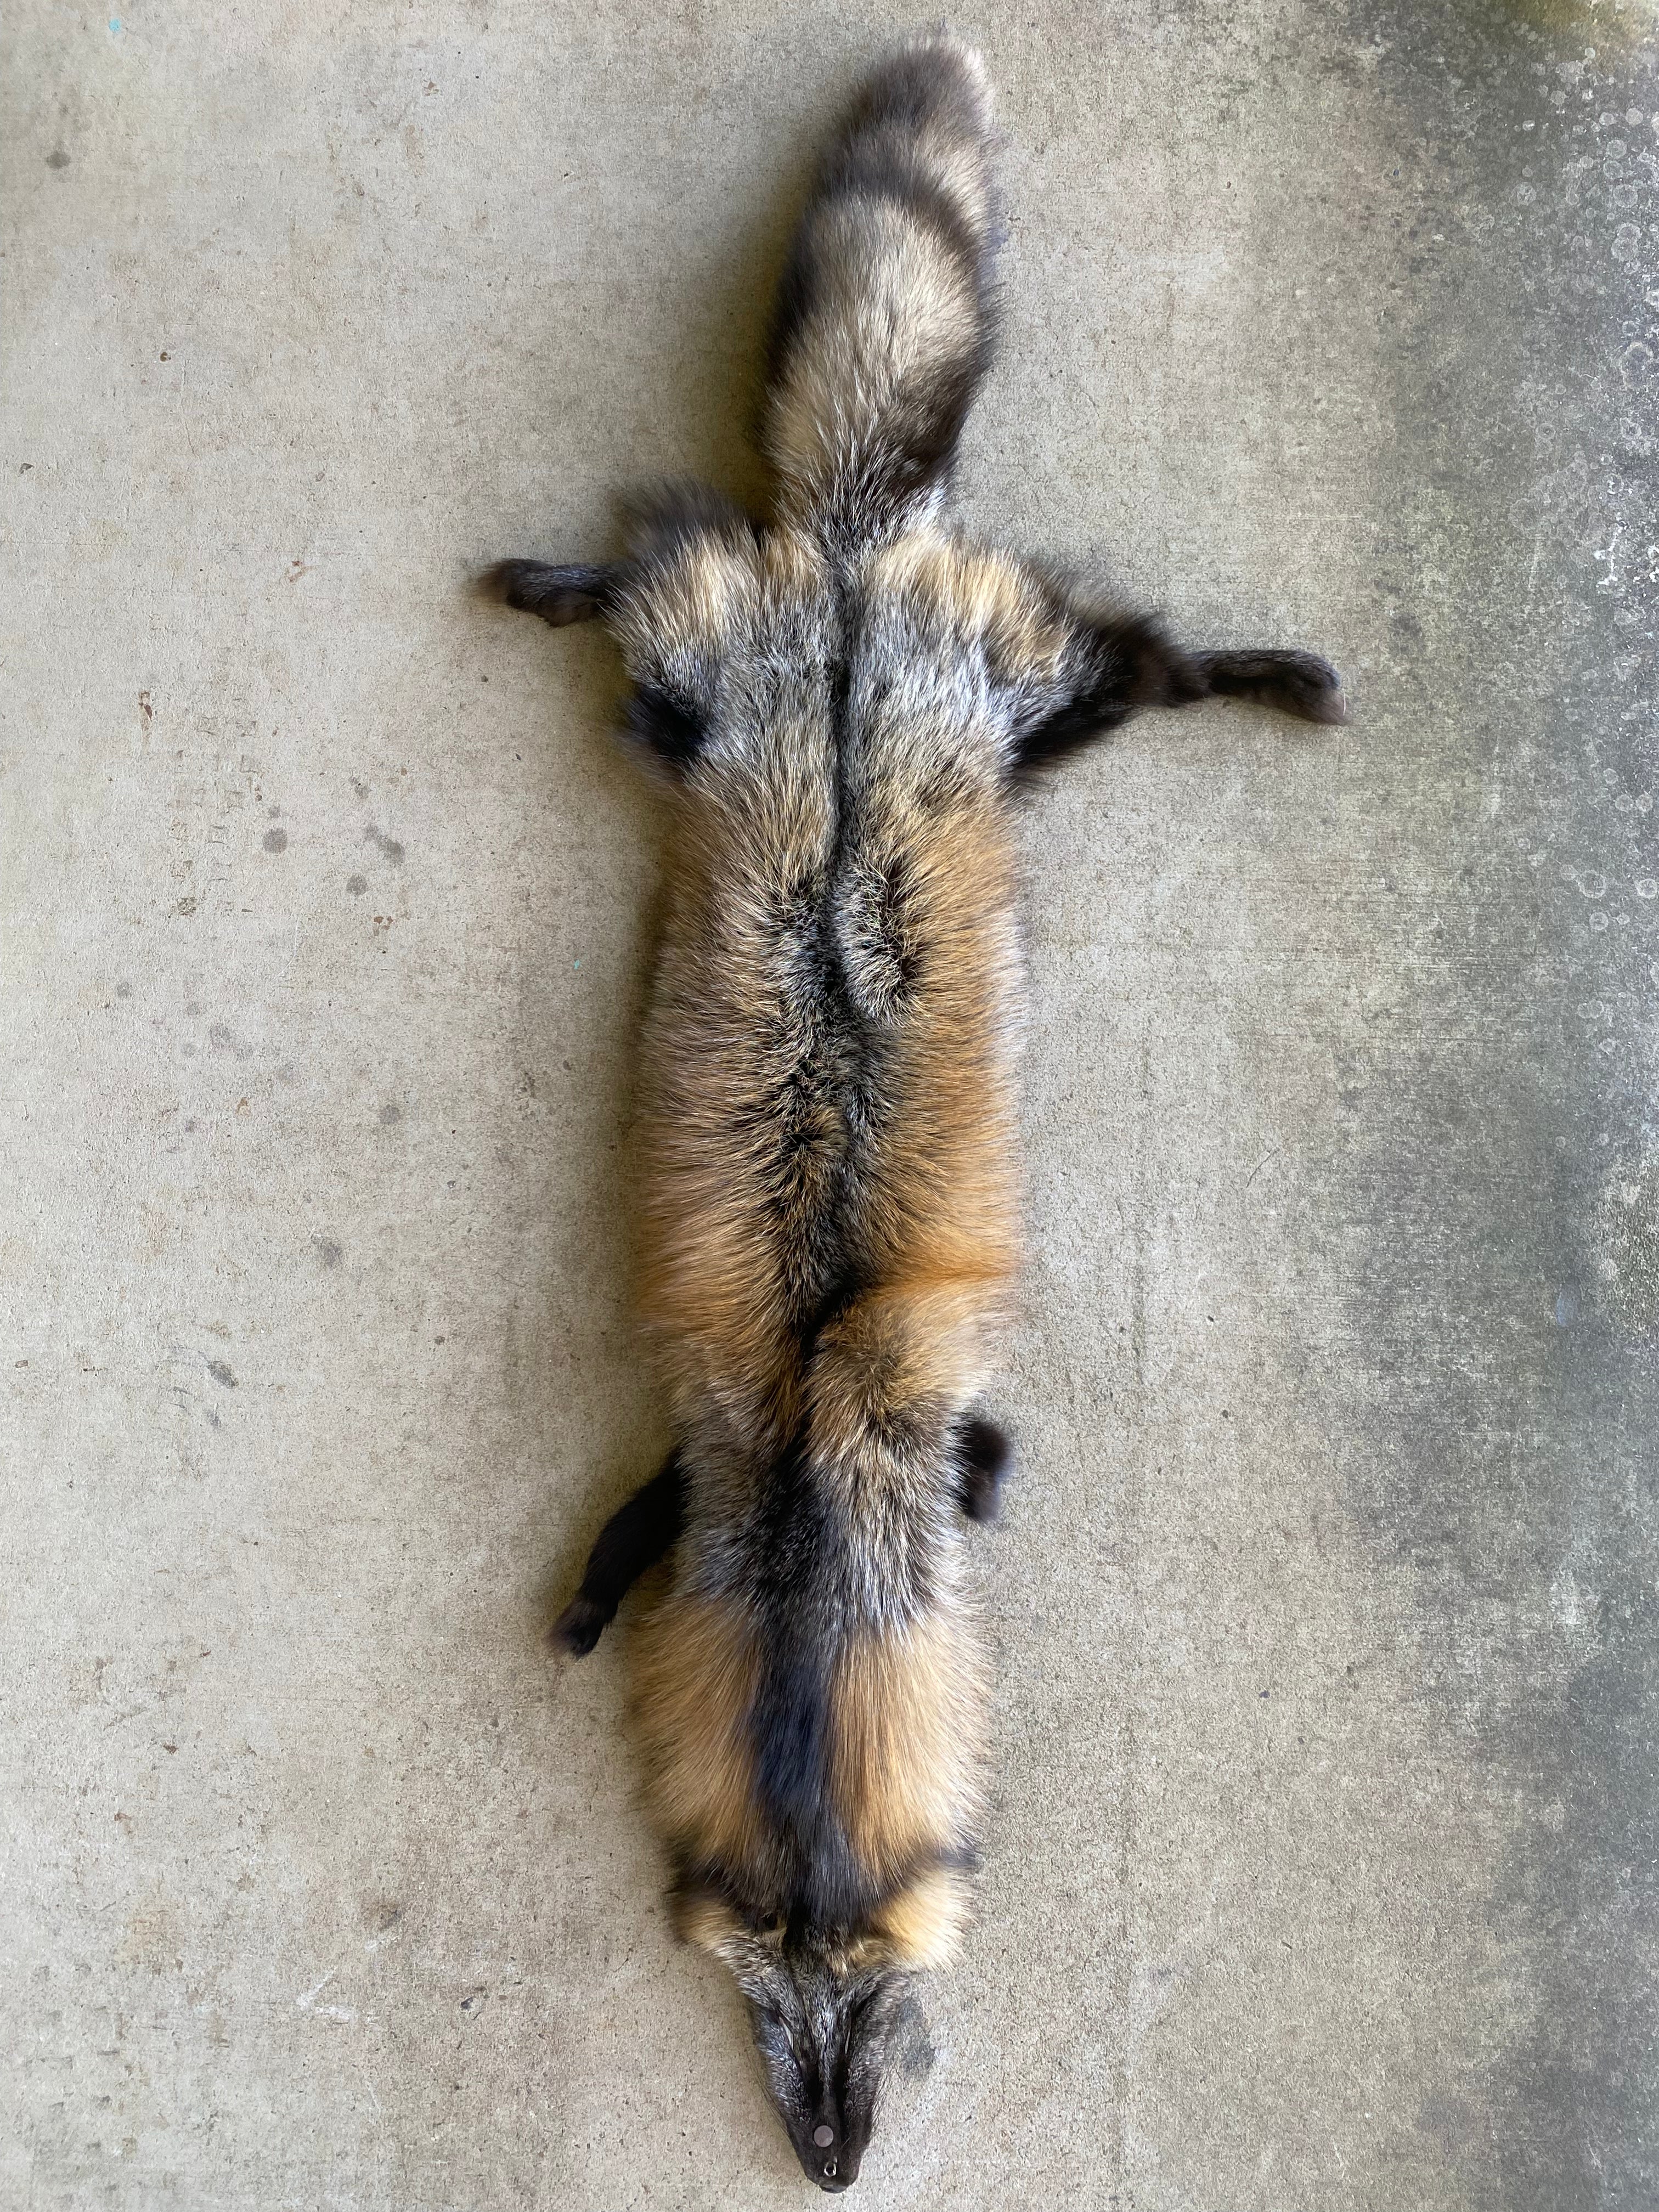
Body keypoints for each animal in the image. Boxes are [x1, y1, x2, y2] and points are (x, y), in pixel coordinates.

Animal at [486, 34, 1343, 2191]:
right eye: (767, 2005)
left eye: (868, 2004)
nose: (829, 2169)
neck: (805, 1479)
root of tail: (860, 572)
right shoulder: (718, 1442)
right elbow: (629, 1525)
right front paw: (591, 1603)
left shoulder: (922, 1442)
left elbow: (927, 1480)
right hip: (711, 691)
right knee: (661, 569)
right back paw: (551, 574)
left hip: (1032, 697)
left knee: (1153, 656)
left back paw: (1279, 673)